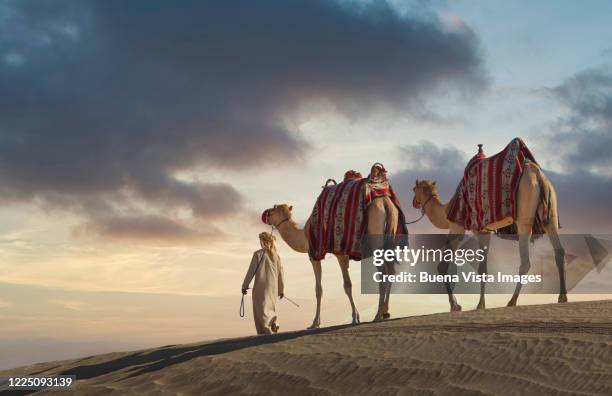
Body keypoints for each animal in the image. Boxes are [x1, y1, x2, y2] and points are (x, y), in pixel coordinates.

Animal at [264, 200, 400, 330]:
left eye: (273, 208)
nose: (265, 213)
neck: (304, 234)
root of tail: (386, 204)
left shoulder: (324, 255)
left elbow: (330, 288)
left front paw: (316, 323)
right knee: (391, 272)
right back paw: (385, 312)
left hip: (375, 239)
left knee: (383, 274)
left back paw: (377, 315)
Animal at [414, 152, 568, 312]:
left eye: (413, 189)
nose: (414, 202)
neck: (446, 210)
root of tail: (538, 175)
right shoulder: (484, 231)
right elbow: (483, 269)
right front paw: (479, 304)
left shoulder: (458, 225)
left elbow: (443, 266)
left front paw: (456, 305)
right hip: (550, 213)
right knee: (559, 251)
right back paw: (562, 297)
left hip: (524, 215)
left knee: (525, 262)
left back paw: (512, 301)